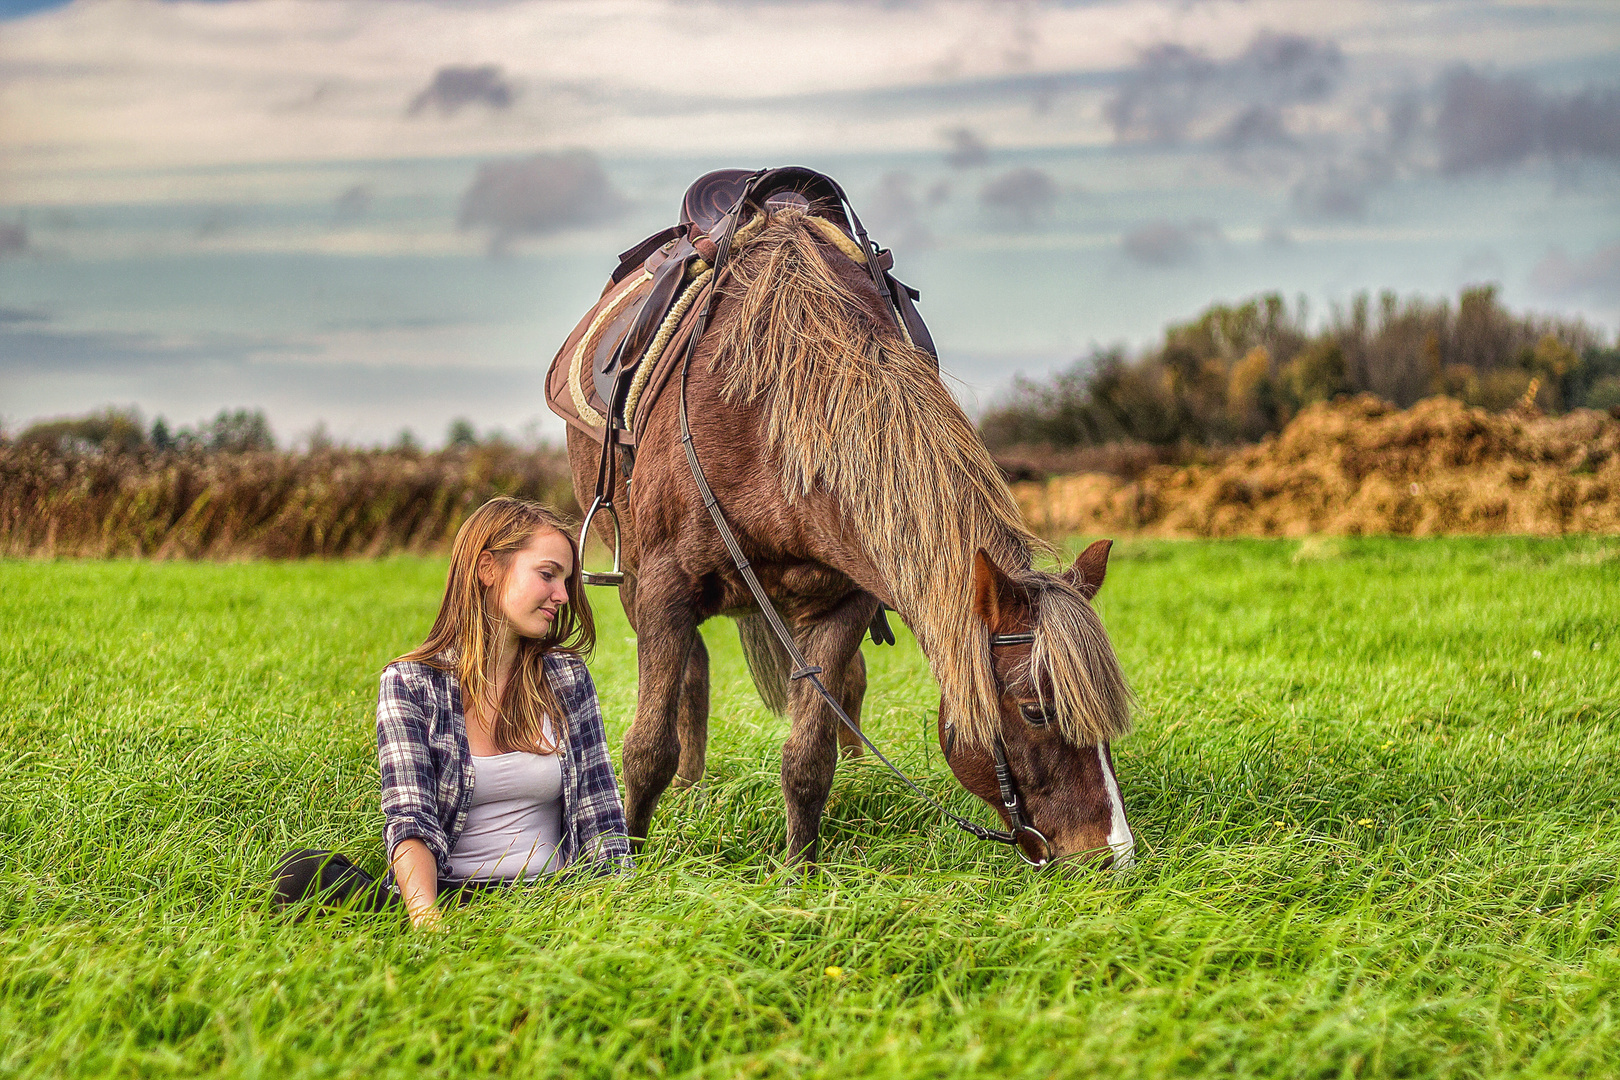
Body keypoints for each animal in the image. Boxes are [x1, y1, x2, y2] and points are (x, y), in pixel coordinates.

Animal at [570, 208, 1140, 867]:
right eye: (1036, 711)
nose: (1113, 855)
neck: (768, 422)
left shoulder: (844, 599)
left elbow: (808, 757)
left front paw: (799, 871)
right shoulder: (665, 584)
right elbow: (647, 748)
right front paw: (627, 865)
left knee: (846, 686)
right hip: (636, 582)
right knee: (692, 676)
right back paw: (691, 790)